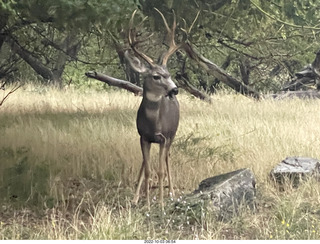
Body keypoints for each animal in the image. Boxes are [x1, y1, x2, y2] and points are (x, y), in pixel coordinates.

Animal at [124, 8, 180, 209]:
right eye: (156, 76)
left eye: (169, 74)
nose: (174, 89)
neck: (154, 123)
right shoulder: (143, 137)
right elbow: (148, 170)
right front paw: (146, 203)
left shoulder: (164, 137)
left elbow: (161, 170)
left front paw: (162, 204)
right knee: (145, 163)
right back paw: (135, 198)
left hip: (173, 134)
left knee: (167, 158)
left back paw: (171, 193)